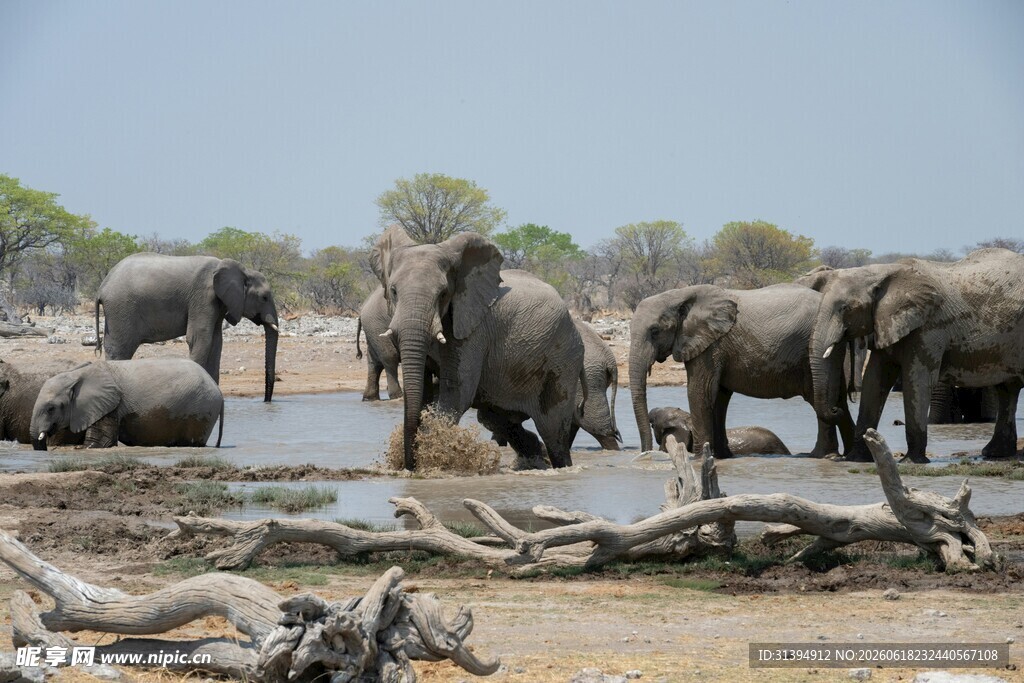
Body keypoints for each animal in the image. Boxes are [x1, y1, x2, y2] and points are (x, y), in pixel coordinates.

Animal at [30, 359, 224, 450]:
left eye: (51, 409)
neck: (77, 374)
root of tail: (219, 390)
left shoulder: (109, 404)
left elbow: (101, 443)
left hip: (201, 410)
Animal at [96, 253, 279, 402]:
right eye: (264, 297)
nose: (267, 401)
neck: (243, 270)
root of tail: (102, 287)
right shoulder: (203, 296)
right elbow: (200, 338)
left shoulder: (218, 303)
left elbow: (216, 342)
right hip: (121, 308)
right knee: (120, 349)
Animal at [370, 227, 584, 469]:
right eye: (394, 291)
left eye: (443, 294)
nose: (409, 465)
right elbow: (424, 389)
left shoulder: (473, 329)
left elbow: (456, 392)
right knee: (497, 419)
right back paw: (536, 459)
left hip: (564, 358)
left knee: (553, 430)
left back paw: (560, 464)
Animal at [809, 248, 1024, 463]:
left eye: (846, 308)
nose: (835, 409)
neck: (880, 272)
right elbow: (875, 380)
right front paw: (856, 459)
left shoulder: (929, 328)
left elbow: (917, 381)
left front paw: (912, 462)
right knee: (1007, 389)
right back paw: (995, 454)